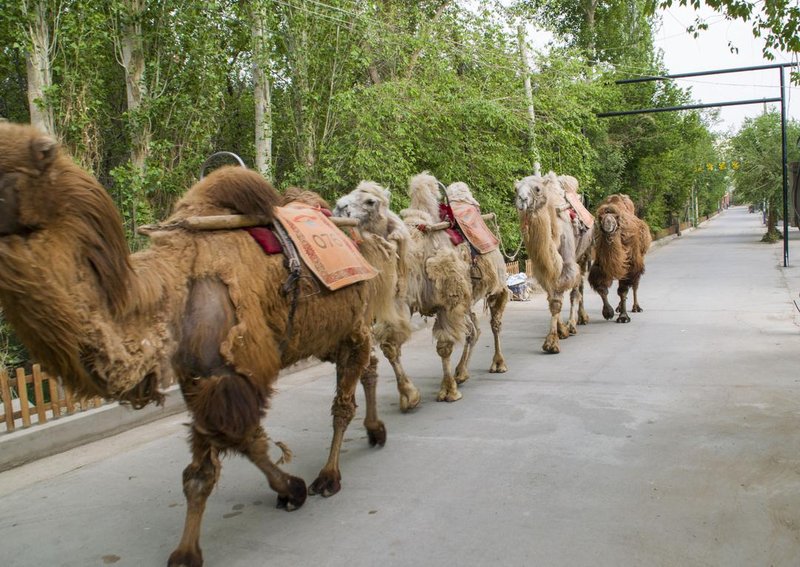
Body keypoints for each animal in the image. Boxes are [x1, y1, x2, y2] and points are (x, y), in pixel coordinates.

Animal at [0, 122, 400, 567]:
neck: (169, 286)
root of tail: (353, 239)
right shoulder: (202, 380)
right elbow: (218, 460)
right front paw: (197, 544)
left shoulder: (229, 373)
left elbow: (234, 445)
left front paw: (294, 488)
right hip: (327, 333)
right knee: (366, 368)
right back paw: (374, 431)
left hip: (350, 325)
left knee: (343, 401)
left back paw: (330, 475)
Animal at [514, 172, 594, 353]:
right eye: (516, 189)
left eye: (537, 189)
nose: (522, 200)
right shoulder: (544, 269)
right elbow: (552, 298)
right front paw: (560, 330)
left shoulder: (568, 263)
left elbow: (558, 300)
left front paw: (552, 342)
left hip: (583, 255)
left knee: (577, 289)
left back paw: (575, 322)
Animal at [589, 193, 652, 323]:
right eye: (601, 218)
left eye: (616, 218)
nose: (608, 224)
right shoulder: (600, 264)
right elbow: (602, 288)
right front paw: (608, 312)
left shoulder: (630, 264)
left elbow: (623, 291)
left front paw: (623, 317)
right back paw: (619, 307)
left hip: (639, 257)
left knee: (635, 285)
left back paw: (636, 307)